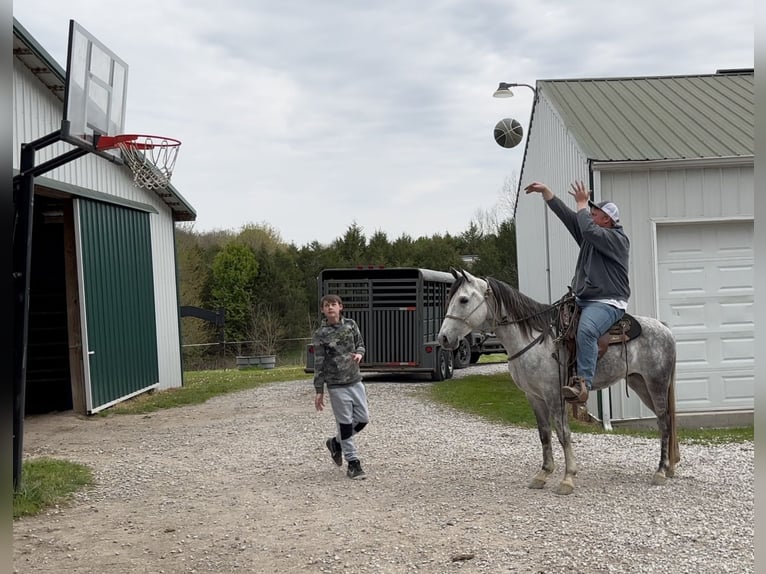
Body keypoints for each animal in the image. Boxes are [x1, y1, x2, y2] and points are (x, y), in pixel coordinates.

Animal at [437, 269, 679, 495]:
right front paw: (543, 474)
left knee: (664, 421)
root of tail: (664, 327)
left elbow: (563, 433)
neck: (534, 340)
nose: (443, 338)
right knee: (664, 420)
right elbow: (544, 433)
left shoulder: (554, 395)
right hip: (640, 384)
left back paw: (660, 471)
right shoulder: (533, 396)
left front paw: (568, 478)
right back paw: (669, 468)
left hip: (656, 384)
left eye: (463, 299)